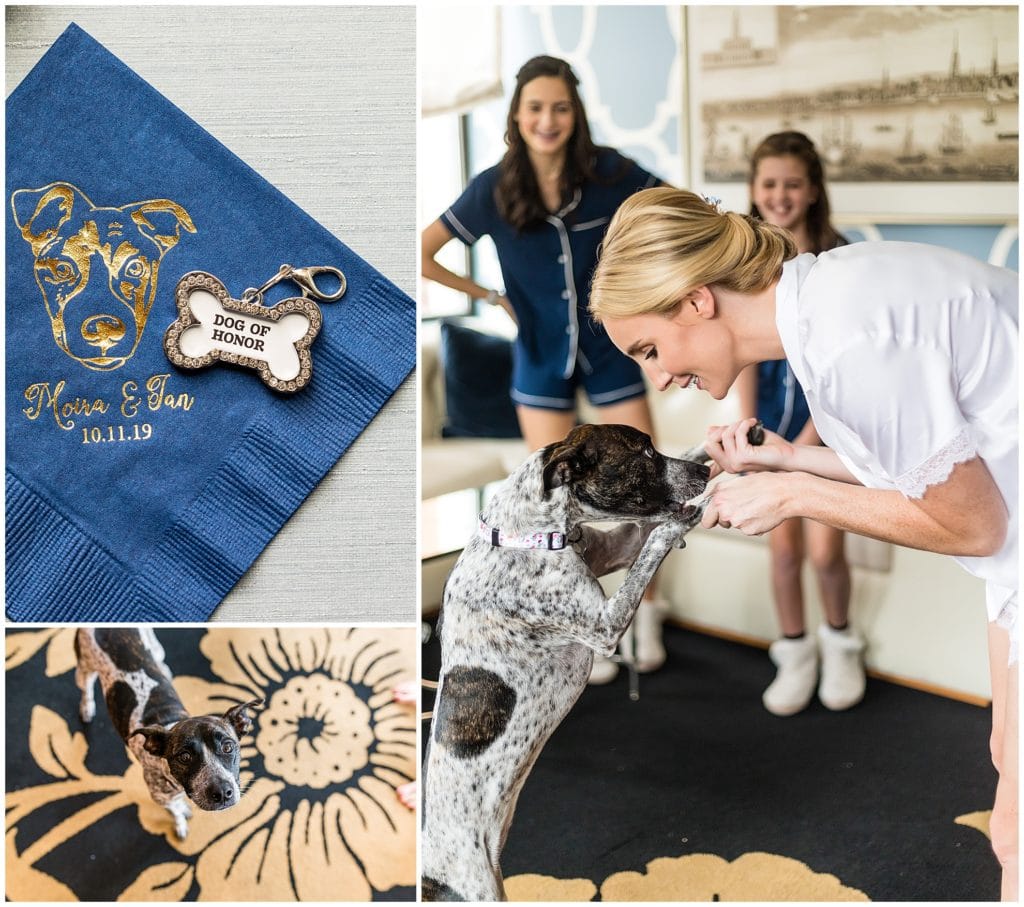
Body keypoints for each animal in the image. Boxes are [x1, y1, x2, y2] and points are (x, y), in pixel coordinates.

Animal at [74, 626, 262, 843]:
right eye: (184, 757)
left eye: (228, 746)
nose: (222, 793)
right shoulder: (161, 798)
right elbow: (176, 811)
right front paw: (181, 820)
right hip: (84, 668)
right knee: (86, 687)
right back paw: (86, 707)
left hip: (154, 645)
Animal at [419, 425, 708, 900]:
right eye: (644, 452)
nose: (705, 474)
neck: (526, 532)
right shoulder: (606, 626)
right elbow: (655, 542)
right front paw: (682, 519)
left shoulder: (614, 547)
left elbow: (641, 534)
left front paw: (721, 443)